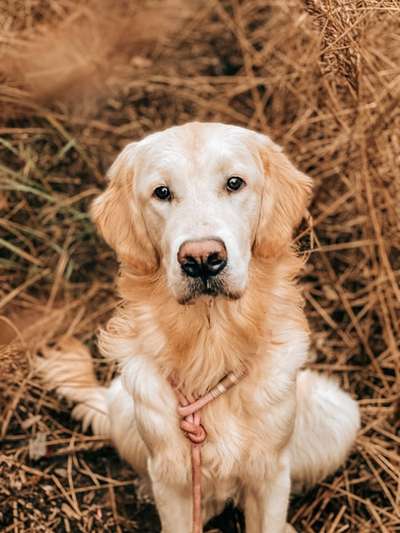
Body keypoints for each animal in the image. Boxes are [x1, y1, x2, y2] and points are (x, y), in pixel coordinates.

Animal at [39, 122, 360, 528]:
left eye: (235, 183)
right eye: (161, 192)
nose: (203, 259)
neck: (210, 340)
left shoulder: (269, 475)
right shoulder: (173, 477)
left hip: (337, 413)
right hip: (125, 408)